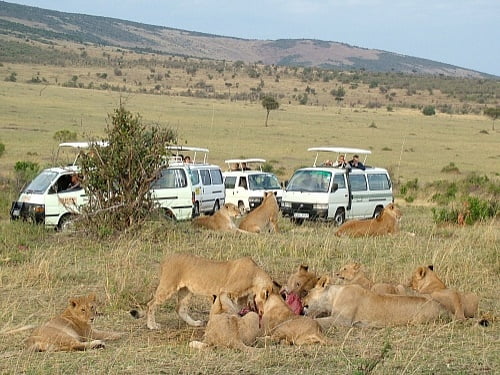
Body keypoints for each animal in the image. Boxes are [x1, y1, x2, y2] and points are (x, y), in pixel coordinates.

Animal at [145, 254, 274, 330]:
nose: (263, 313)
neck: (254, 275)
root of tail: (167, 259)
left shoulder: (241, 298)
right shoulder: (226, 292)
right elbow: (231, 308)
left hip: (186, 291)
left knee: (180, 309)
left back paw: (195, 323)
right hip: (168, 287)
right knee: (150, 304)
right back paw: (152, 325)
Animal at [302, 276, 448, 328]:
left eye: (308, 292)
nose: (302, 301)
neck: (334, 296)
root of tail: (444, 308)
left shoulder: (342, 320)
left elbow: (318, 321)